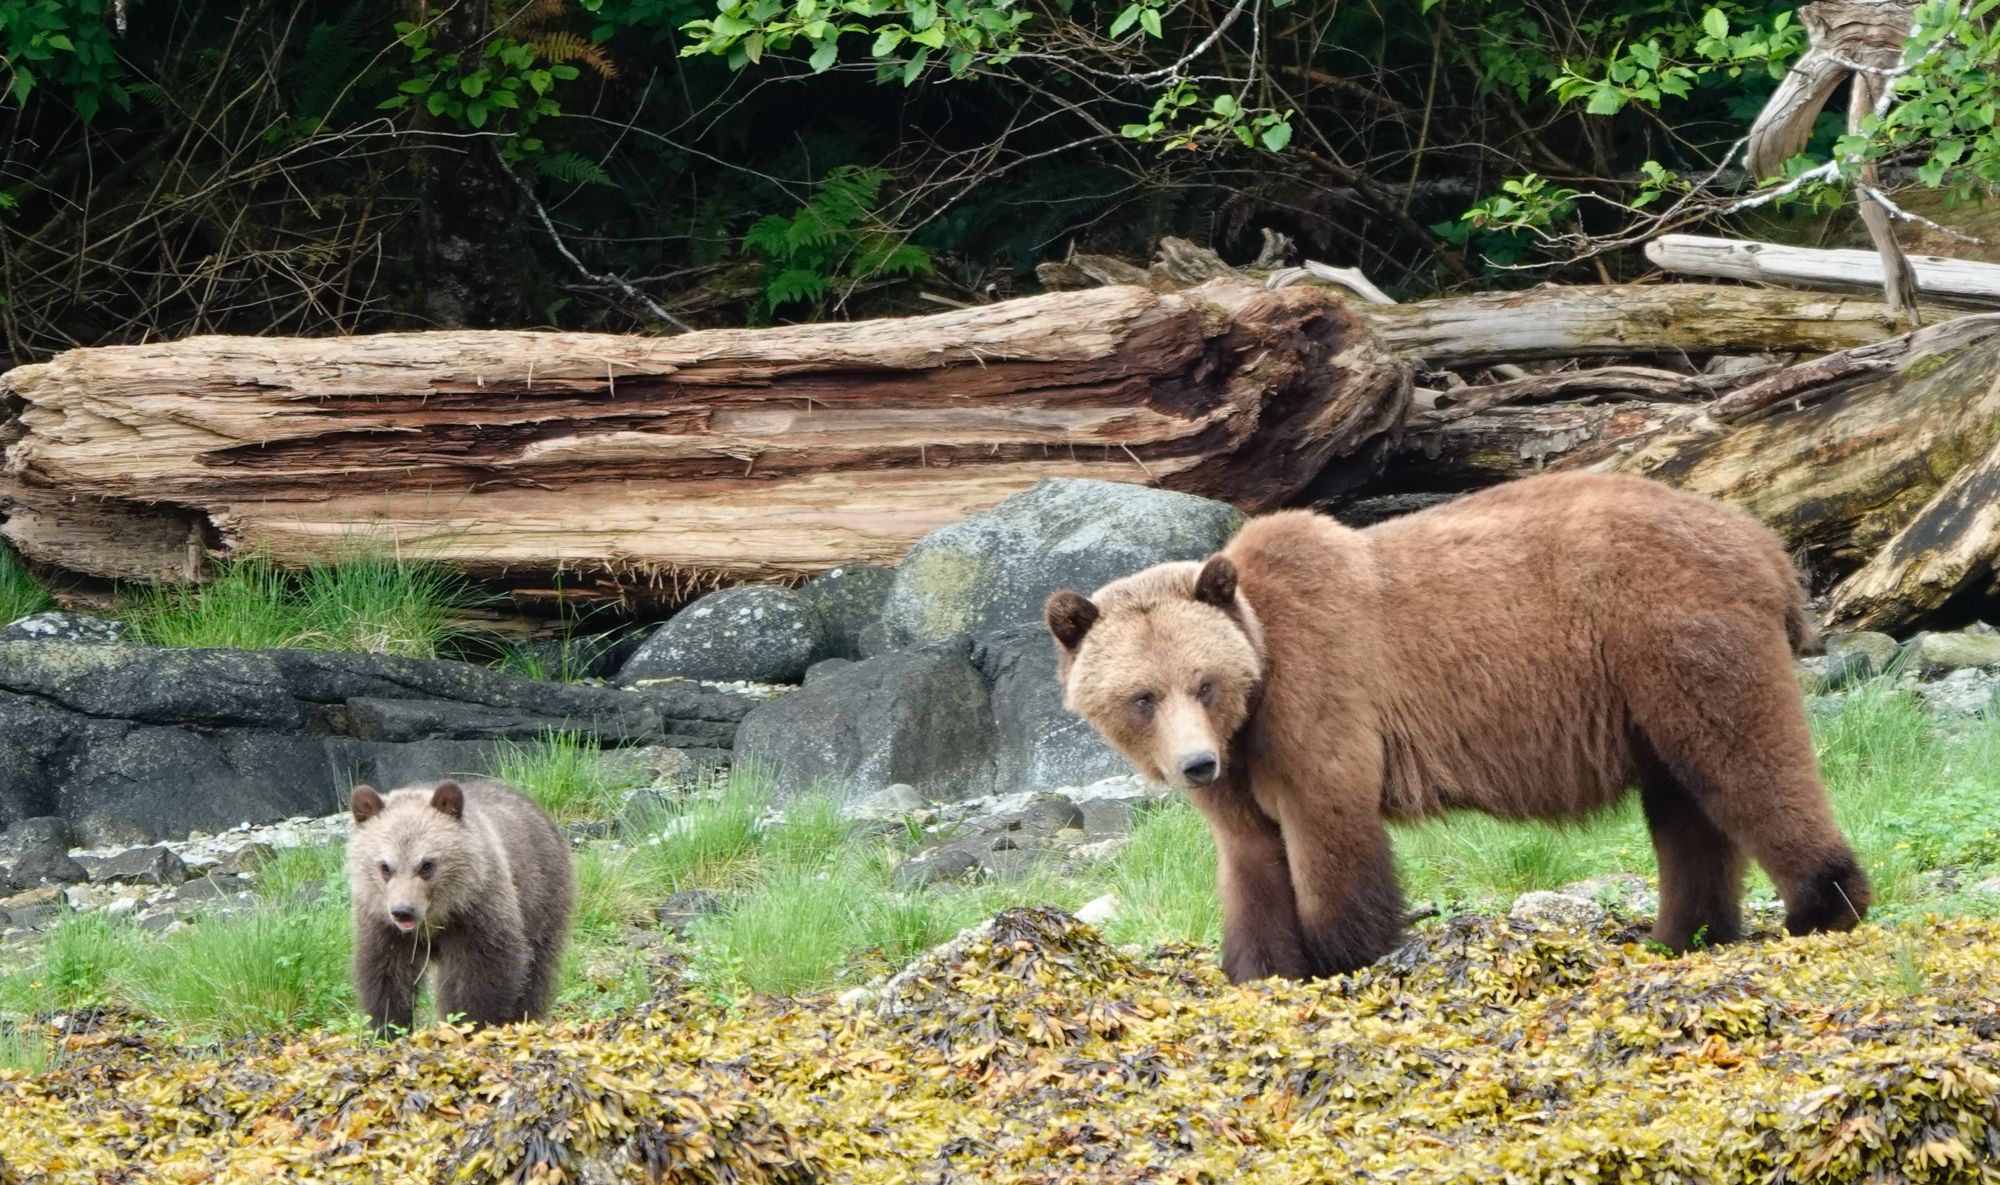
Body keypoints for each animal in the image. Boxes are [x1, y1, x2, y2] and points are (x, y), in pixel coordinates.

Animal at [344, 772, 576, 1032]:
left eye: (427, 865)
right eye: (385, 866)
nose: (403, 911)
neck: (437, 917)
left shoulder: (477, 913)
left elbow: (488, 968)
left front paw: (474, 1022)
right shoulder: (382, 923)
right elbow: (386, 973)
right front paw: (389, 1027)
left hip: (542, 895)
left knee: (538, 966)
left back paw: (526, 1017)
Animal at [1048, 472, 1872, 980]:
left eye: (1204, 681)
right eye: (1142, 696)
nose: (1194, 764)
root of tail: (1766, 544)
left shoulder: (1316, 692)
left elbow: (1329, 826)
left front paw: (1343, 952)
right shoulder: (1243, 760)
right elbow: (1250, 857)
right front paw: (1261, 966)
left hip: (1672, 629)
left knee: (1745, 763)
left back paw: (1823, 904)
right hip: (1643, 690)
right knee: (1684, 803)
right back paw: (1681, 933)